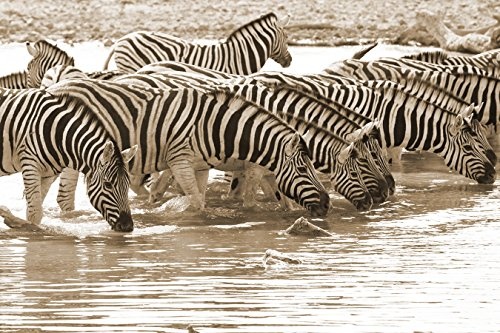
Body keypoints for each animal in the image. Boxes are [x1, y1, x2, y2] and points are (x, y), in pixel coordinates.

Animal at [0, 87, 137, 230]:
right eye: (108, 185)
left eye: (128, 184)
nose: (127, 226)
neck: (57, 133)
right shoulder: (30, 164)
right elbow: (35, 212)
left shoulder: (46, 174)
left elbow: (33, 211)